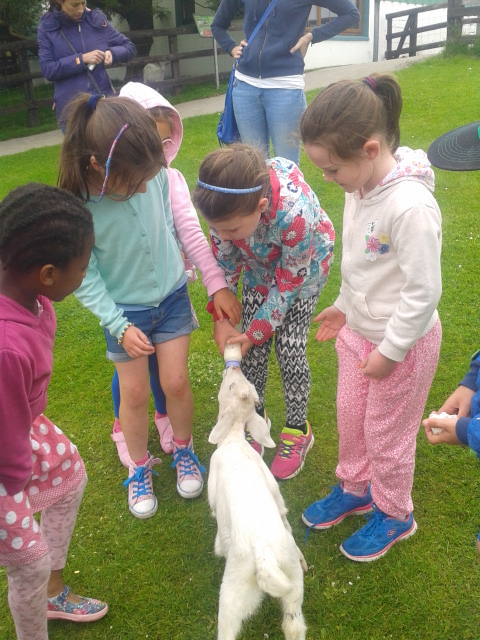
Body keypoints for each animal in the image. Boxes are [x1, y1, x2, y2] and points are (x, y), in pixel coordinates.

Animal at [208, 365, 307, 640]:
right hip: (293, 580)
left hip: (232, 591)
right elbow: (284, 512)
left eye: (230, 386)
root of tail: (265, 558)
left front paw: (217, 546)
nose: (233, 367)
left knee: (227, 629)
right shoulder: (272, 486)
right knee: (294, 625)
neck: (233, 440)